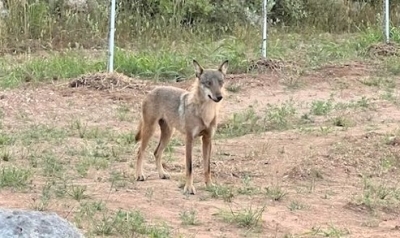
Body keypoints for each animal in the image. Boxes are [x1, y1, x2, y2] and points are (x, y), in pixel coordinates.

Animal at [134, 59, 228, 193]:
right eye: (208, 83)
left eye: (221, 83)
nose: (219, 97)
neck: (205, 113)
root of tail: (152, 90)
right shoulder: (189, 139)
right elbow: (189, 167)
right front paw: (189, 188)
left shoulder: (207, 139)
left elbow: (207, 167)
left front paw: (209, 185)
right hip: (149, 131)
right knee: (139, 152)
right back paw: (139, 175)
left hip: (168, 135)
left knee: (156, 152)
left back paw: (162, 174)